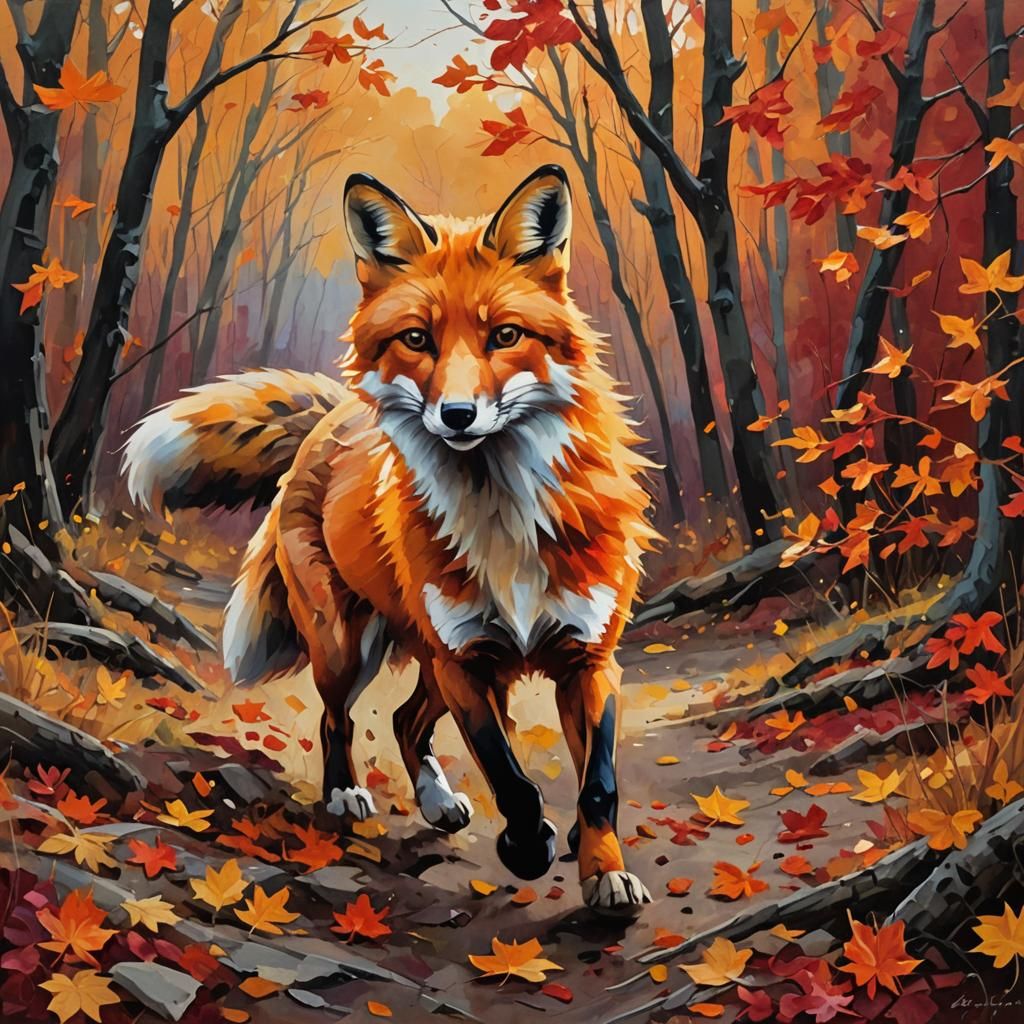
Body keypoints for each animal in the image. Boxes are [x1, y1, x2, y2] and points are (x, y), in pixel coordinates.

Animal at [122, 165, 658, 913]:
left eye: (505, 336)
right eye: (417, 339)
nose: (457, 414)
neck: (505, 521)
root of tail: (329, 422)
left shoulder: (588, 656)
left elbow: (598, 781)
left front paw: (602, 865)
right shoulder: (468, 660)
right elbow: (513, 780)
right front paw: (528, 848)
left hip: (431, 657)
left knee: (407, 722)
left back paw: (442, 803)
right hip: (352, 647)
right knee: (338, 721)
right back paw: (347, 793)